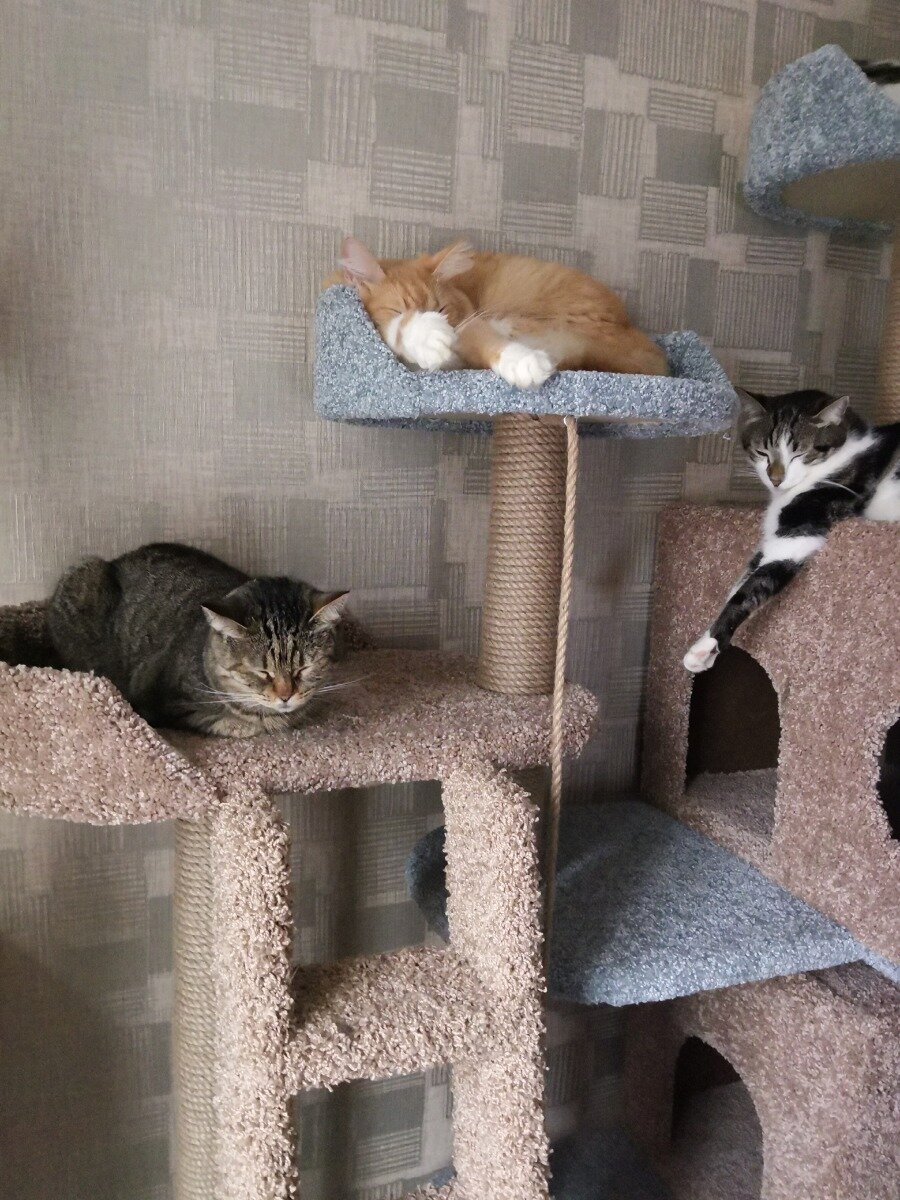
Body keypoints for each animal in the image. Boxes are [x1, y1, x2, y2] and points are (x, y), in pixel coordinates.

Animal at [48, 542, 349, 737]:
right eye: (262, 672)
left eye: (304, 669)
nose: (286, 696)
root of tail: (116, 559)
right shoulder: (159, 701)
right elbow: (215, 720)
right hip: (84, 577)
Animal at [327, 237, 669, 388]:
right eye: (397, 306)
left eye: (441, 308)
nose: (439, 322)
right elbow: (399, 328)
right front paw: (426, 335)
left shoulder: (469, 328)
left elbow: (491, 344)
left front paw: (525, 364)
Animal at [684, 389, 900, 674]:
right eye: (763, 452)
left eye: (799, 454)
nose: (775, 478)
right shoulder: (770, 541)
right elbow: (742, 580)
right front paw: (707, 645)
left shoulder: (799, 530)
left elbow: (751, 588)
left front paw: (706, 646)